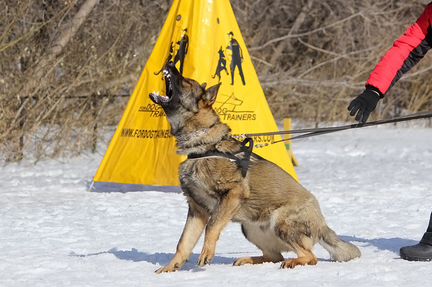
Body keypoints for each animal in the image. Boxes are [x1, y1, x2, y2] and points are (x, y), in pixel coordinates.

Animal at [150, 62, 360, 274]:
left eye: (186, 81)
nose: (170, 63)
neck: (205, 145)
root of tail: (322, 224)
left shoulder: (232, 194)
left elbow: (211, 226)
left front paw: (207, 253)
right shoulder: (197, 209)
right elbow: (183, 242)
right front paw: (170, 268)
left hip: (280, 222)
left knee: (309, 256)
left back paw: (293, 262)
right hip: (249, 228)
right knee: (275, 256)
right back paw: (249, 260)